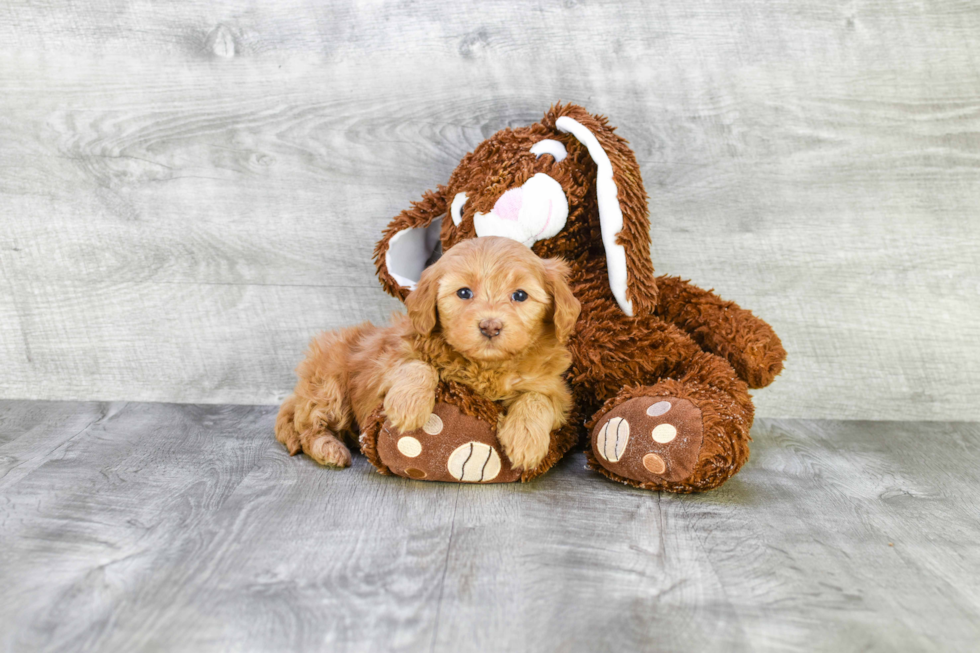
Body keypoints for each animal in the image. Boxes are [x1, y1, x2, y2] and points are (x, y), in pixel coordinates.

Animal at [274, 237, 580, 472]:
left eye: (520, 295)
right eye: (464, 293)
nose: (490, 326)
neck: (485, 367)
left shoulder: (557, 392)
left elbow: (537, 398)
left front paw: (526, 440)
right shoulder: (388, 360)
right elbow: (418, 365)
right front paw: (409, 405)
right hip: (329, 384)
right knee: (309, 426)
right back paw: (329, 449)